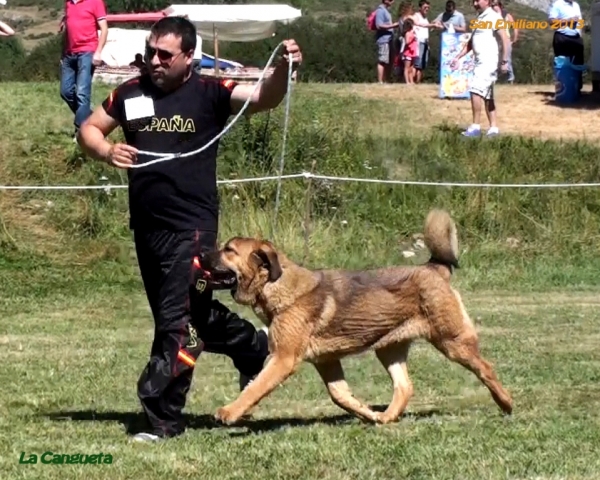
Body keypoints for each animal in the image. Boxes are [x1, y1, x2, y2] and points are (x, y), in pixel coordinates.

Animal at [202, 208, 510, 426]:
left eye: (229, 250)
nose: (201, 254)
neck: (277, 286)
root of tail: (433, 268)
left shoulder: (283, 359)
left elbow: (255, 388)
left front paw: (229, 411)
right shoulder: (326, 362)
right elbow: (341, 395)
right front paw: (367, 413)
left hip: (452, 342)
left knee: (486, 368)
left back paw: (506, 403)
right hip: (389, 349)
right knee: (404, 387)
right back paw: (386, 417)